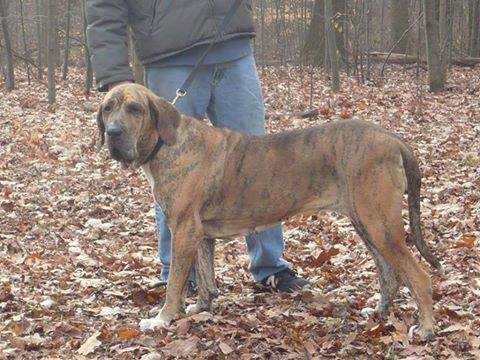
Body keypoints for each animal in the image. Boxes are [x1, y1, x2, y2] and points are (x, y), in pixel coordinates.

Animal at [94, 83, 442, 340]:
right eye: (107, 108)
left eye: (135, 109)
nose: (113, 133)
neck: (167, 143)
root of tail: (393, 138)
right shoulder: (199, 234)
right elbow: (204, 277)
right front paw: (201, 309)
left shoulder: (183, 230)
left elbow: (175, 282)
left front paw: (163, 318)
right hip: (366, 224)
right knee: (389, 273)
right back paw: (381, 313)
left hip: (380, 224)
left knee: (418, 276)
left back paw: (426, 329)